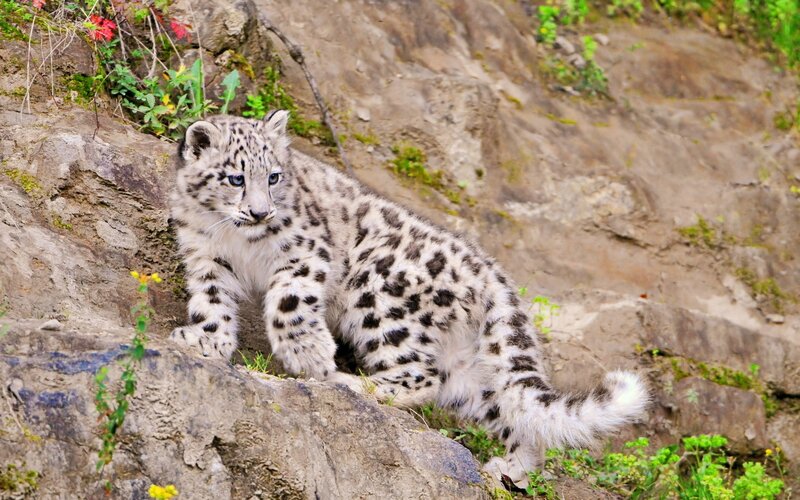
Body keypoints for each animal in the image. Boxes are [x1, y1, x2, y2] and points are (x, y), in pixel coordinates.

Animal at [168, 110, 648, 485]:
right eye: (235, 178)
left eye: (273, 176)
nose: (260, 212)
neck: (234, 238)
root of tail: (490, 270)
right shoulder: (206, 257)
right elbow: (211, 300)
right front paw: (206, 340)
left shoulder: (305, 252)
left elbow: (290, 302)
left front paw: (309, 355)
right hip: (468, 370)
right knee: (506, 410)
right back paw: (509, 469)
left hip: (378, 294)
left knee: (419, 375)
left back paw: (350, 382)